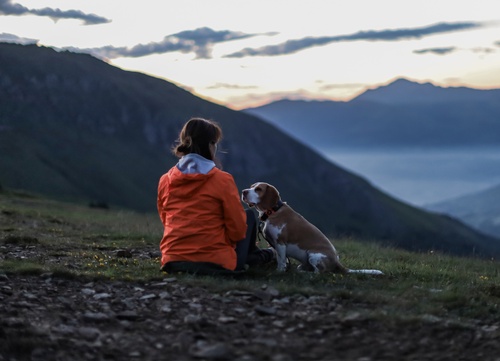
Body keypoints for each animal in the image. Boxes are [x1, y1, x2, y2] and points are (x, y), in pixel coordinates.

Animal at [242, 181, 382, 274]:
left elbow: (281, 260)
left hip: (313, 255)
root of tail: (337, 262)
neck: (274, 211)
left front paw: (279, 272)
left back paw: (305, 274)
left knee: (319, 273)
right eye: (251, 187)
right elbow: (281, 259)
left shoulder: (280, 243)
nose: (243, 191)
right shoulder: (274, 244)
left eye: (258, 189)